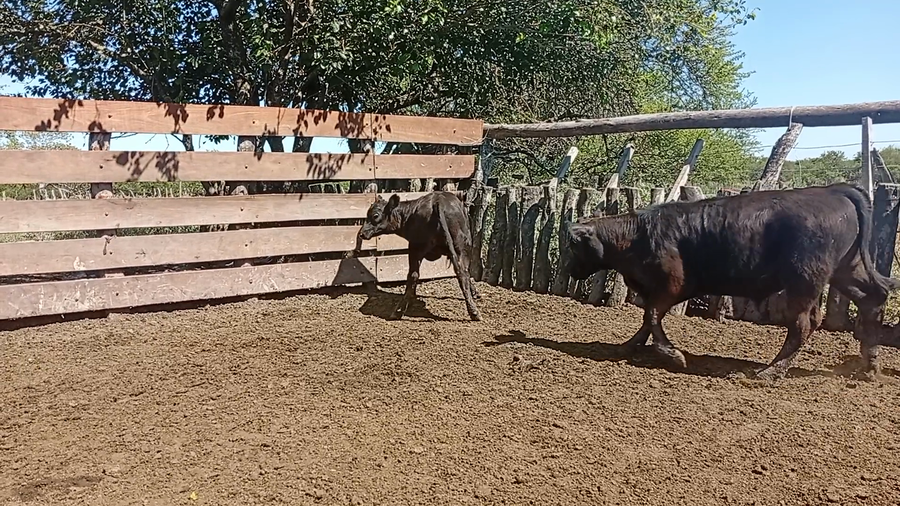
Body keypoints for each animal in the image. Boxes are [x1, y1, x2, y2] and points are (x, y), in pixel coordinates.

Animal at [356, 191, 482, 321]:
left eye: (375, 215)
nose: (361, 233)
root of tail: (438, 202)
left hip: (418, 248)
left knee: (415, 275)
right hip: (451, 248)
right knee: (460, 272)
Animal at [565, 183, 900, 380]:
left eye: (572, 245)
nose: (568, 268)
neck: (638, 235)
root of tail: (834, 189)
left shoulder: (673, 286)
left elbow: (652, 316)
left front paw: (674, 356)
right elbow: (647, 320)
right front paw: (629, 346)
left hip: (805, 280)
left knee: (804, 324)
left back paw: (769, 372)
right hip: (847, 269)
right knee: (873, 299)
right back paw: (870, 366)